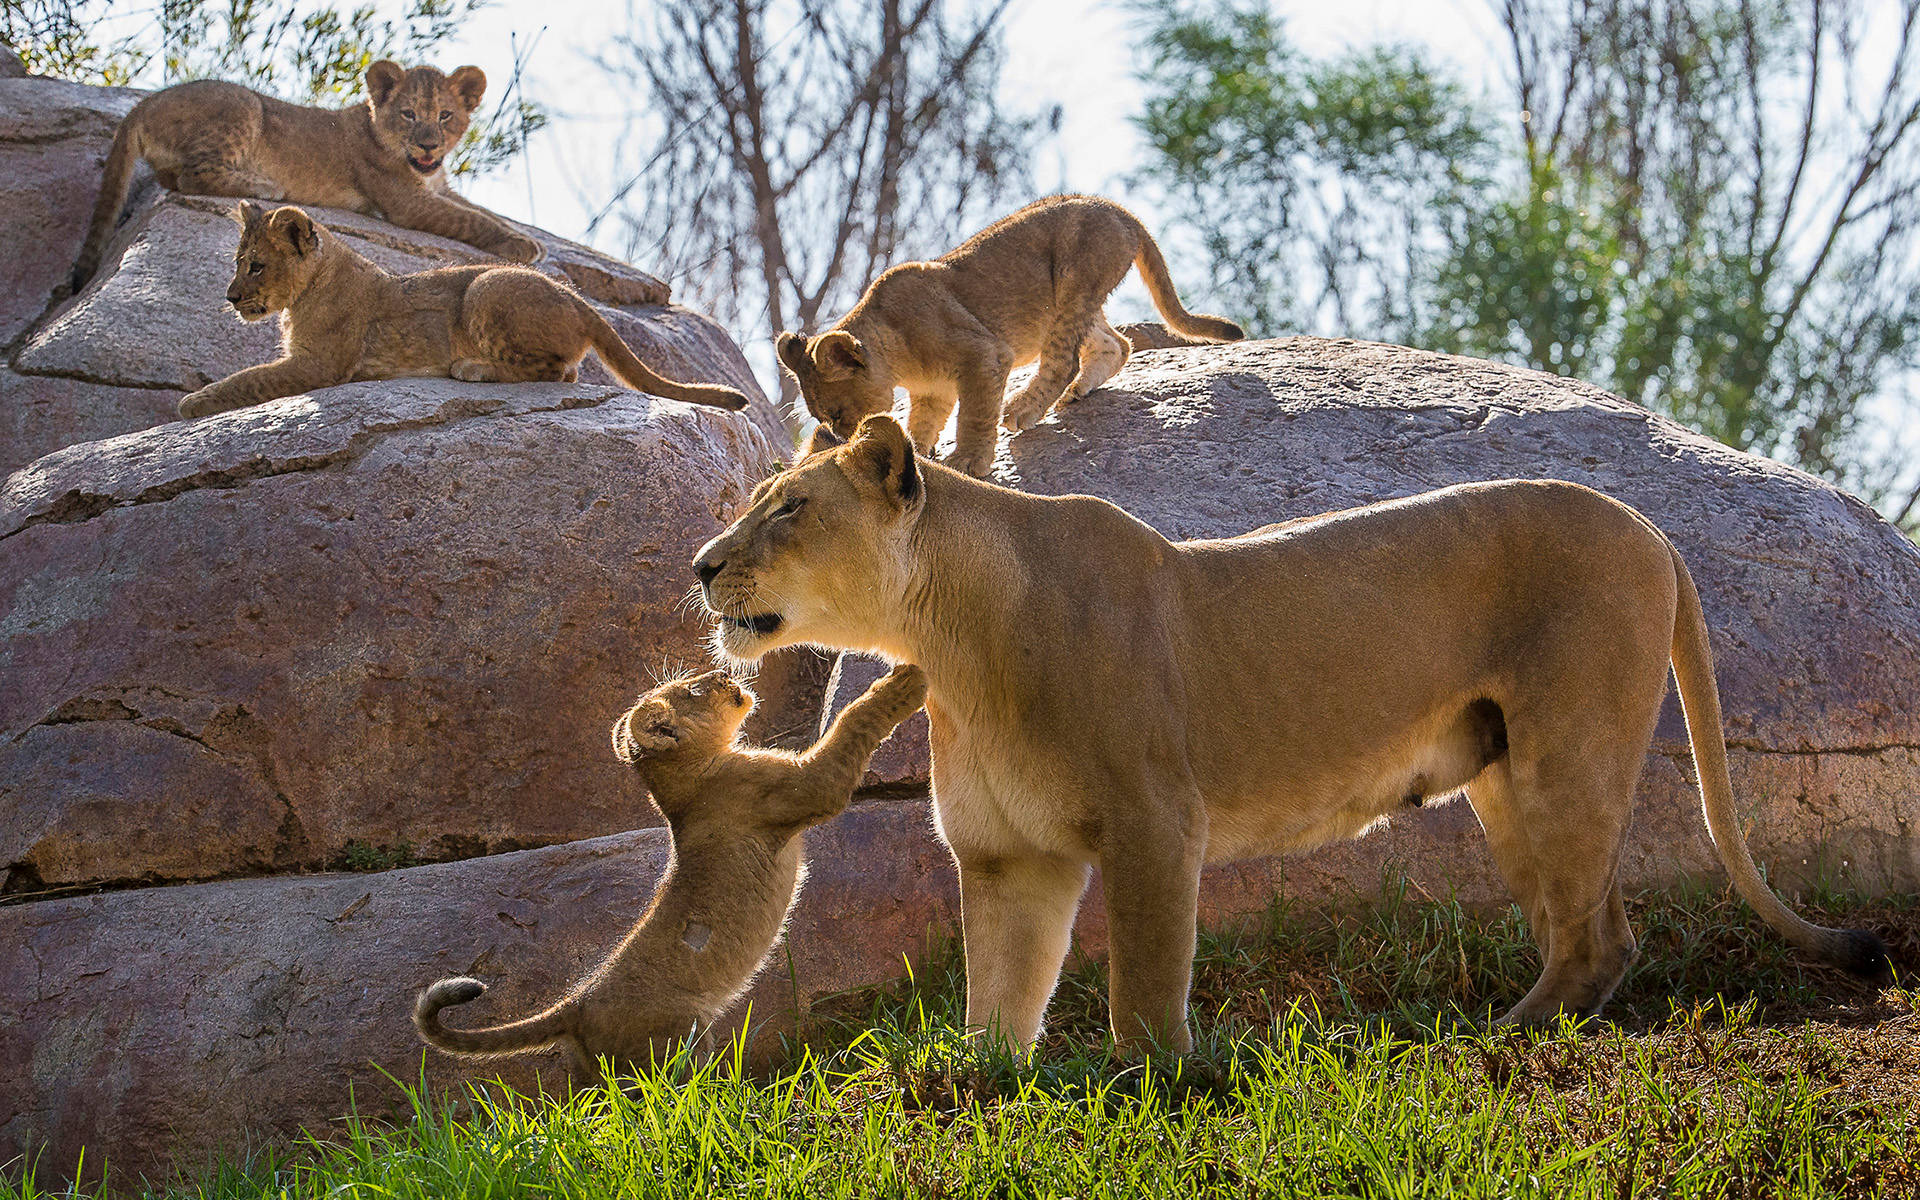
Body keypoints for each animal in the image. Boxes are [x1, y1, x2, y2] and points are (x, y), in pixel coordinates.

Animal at [72, 60, 549, 292]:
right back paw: (265, 185)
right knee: (191, 176)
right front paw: (523, 246)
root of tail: (143, 103)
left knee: (174, 179)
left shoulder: (438, 185)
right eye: (410, 114)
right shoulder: (406, 202)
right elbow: (471, 219)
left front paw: (528, 236)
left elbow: (482, 209)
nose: (430, 145)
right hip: (246, 105)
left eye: (446, 115)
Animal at [175, 203, 747, 419]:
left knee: (557, 371)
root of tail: (583, 302)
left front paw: (190, 403)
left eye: (256, 266)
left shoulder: (319, 364)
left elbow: (247, 379)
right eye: (237, 263)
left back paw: (471, 368)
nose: (229, 297)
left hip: (485, 287)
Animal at [414, 663, 928, 1079]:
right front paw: (905, 682)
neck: (682, 782)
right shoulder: (799, 787)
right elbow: (851, 723)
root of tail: (578, 1004)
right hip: (682, 1037)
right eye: (694, 690)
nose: (724, 673)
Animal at [690, 415, 1890, 1055]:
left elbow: (1143, 986)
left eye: (789, 508)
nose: (701, 564)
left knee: (1597, 937)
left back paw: (1496, 1039)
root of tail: (1657, 531)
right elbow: (1000, 1004)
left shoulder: (1153, 821)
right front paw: (984, 1093)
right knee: (1595, 924)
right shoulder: (1006, 859)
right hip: (1505, 777)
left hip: (1570, 751)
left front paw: (1146, 1082)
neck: (951, 646)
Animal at [775, 195, 1243, 478]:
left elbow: (975, 412)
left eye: (838, 414)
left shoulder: (984, 354)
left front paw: (967, 461)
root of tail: (1119, 209)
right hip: (1073, 300)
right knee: (1117, 344)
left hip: (1074, 276)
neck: (897, 357)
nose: (839, 441)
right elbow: (922, 423)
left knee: (1063, 360)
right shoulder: (932, 392)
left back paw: (1025, 408)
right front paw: (917, 454)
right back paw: (1077, 392)